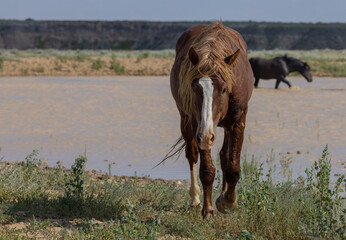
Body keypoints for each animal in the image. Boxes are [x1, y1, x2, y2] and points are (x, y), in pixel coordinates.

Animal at [171, 21, 254, 218]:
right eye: (194, 88)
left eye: (224, 89)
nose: (206, 135)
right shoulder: (199, 127)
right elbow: (207, 170)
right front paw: (208, 210)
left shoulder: (238, 121)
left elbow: (232, 165)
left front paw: (228, 201)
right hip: (186, 120)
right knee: (192, 155)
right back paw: (195, 198)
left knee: (224, 156)